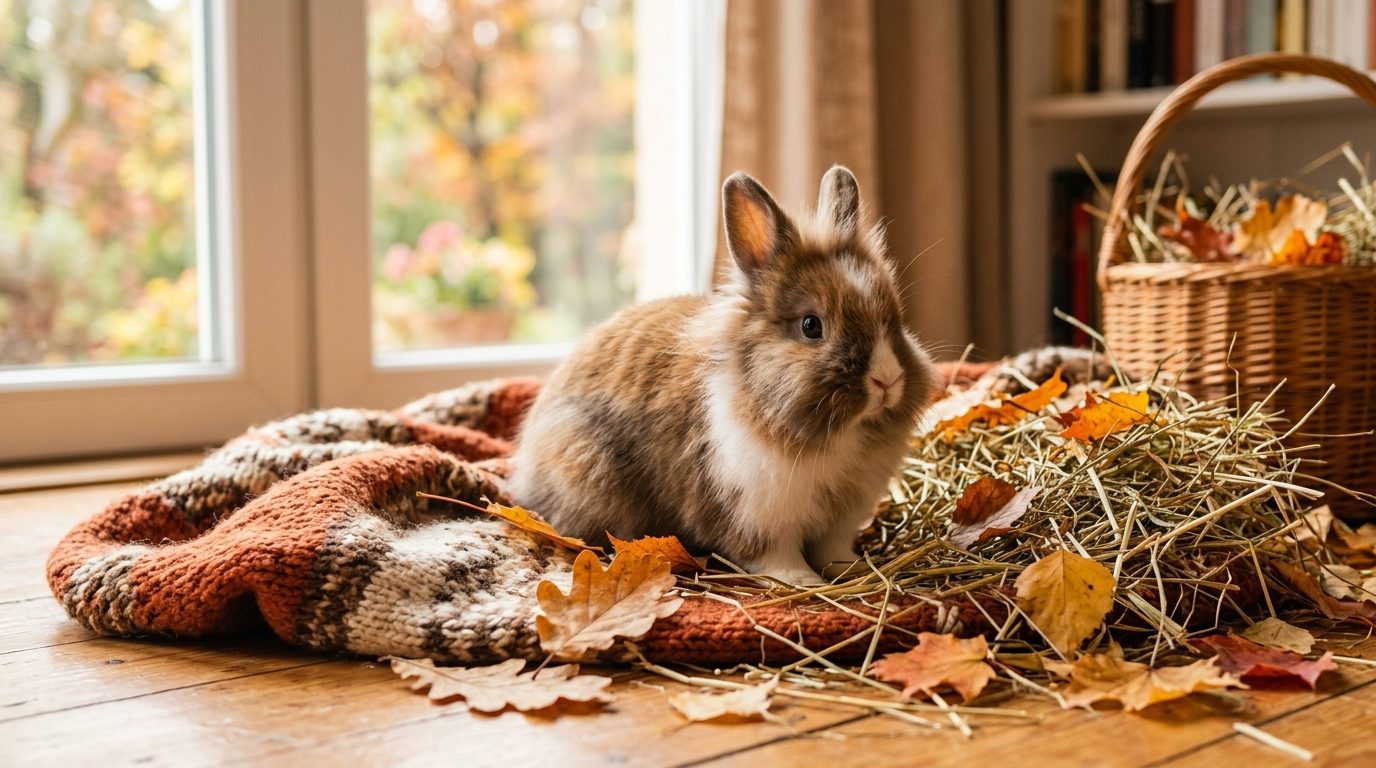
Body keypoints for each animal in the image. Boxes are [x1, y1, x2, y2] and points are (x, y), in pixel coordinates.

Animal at [507, 166, 937, 585]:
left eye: (895, 319)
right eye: (811, 326)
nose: (886, 381)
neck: (840, 434)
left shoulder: (840, 519)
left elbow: (833, 550)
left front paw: (854, 569)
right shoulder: (755, 512)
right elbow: (775, 556)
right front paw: (804, 582)